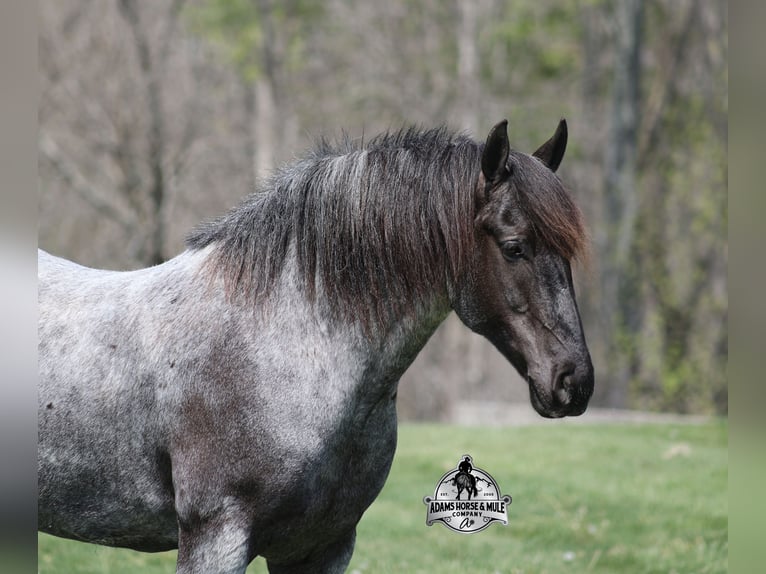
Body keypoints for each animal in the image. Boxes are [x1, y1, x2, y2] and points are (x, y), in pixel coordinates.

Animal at [38, 118, 594, 573]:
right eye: (514, 248)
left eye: (568, 253)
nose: (575, 382)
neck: (281, 347)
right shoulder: (215, 540)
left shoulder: (320, 547)